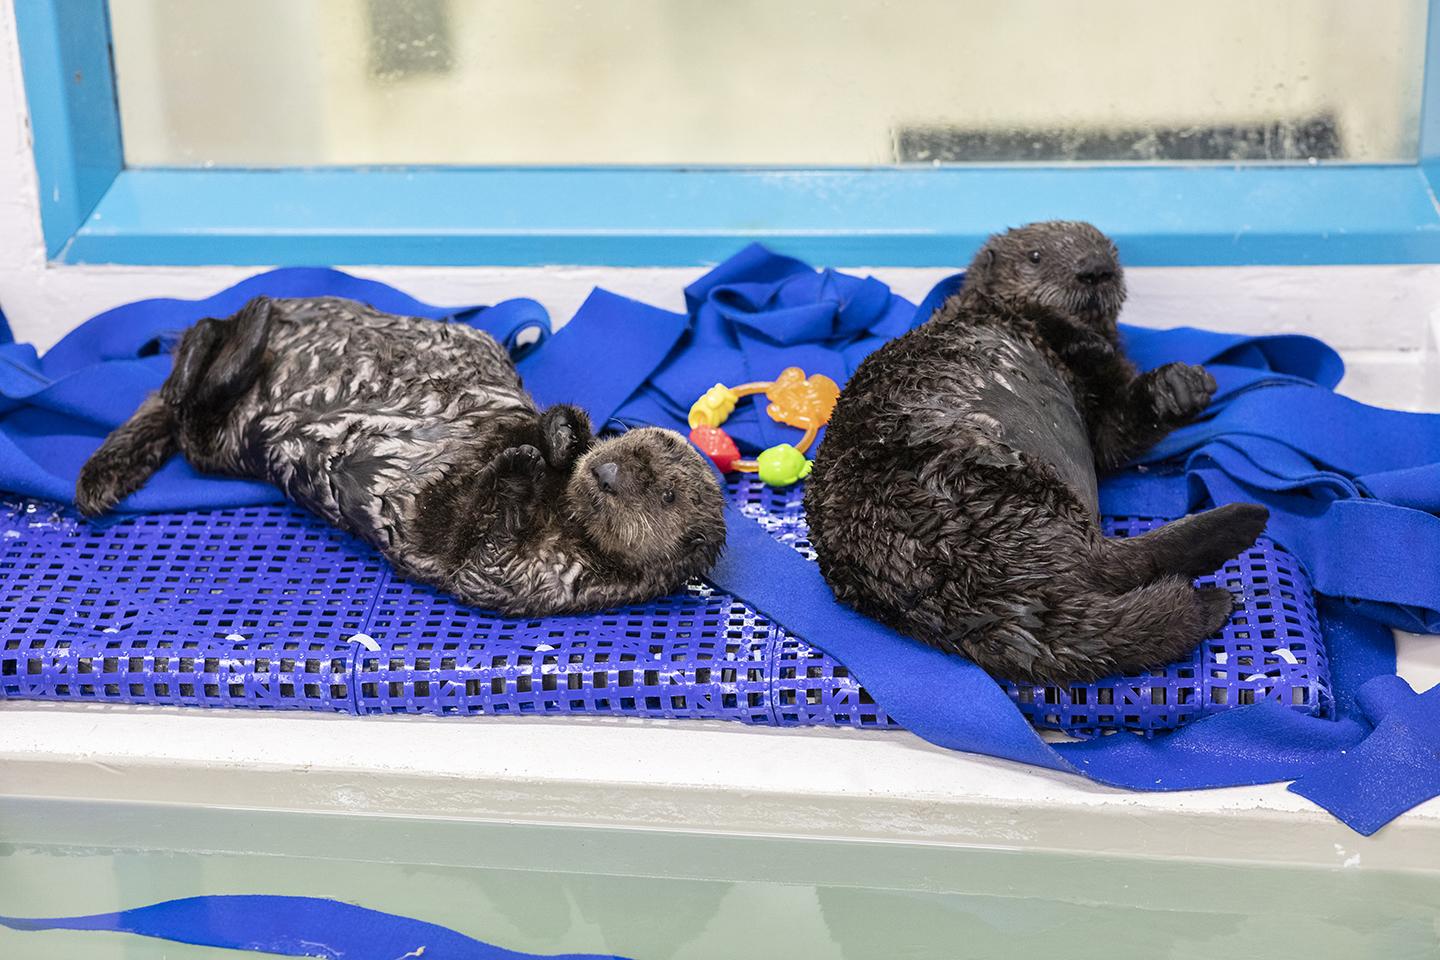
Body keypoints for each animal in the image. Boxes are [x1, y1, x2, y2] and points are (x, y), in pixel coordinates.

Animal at [73, 296, 725, 618]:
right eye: (637, 447)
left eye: (664, 493)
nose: (607, 471)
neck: (559, 511)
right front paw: (564, 432)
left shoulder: (528, 579)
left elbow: (475, 538)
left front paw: (522, 463)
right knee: (193, 357)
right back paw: (241, 325)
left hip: (230, 440)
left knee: (192, 412)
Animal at [812, 223, 1272, 682]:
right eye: (1035, 256)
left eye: (1111, 251)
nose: (1095, 269)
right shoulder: (994, 307)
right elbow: (1041, 313)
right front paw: (1094, 342)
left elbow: (1114, 434)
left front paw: (1179, 386)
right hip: (1002, 491)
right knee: (1107, 563)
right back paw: (1231, 548)